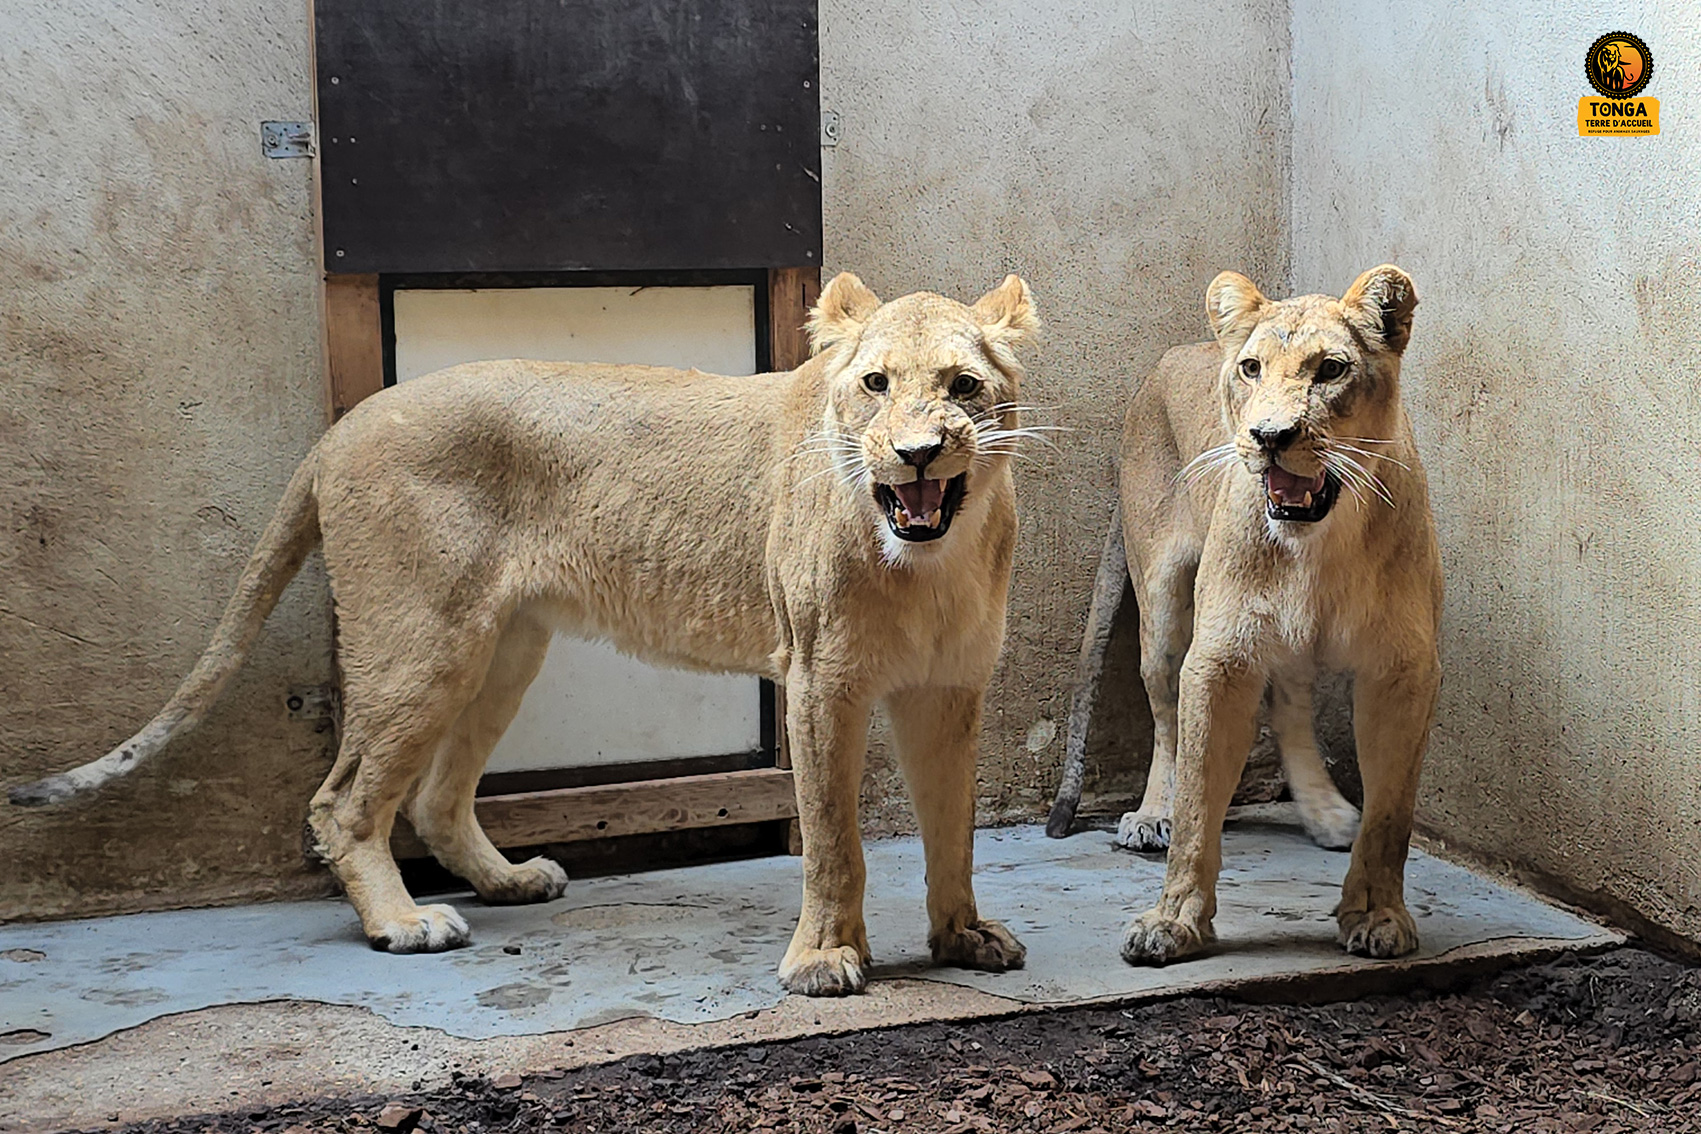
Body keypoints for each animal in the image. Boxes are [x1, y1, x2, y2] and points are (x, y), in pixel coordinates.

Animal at [10, 272, 1040, 996]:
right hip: (422, 638)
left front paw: (963, 937)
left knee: (434, 797)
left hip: (504, 645)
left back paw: (506, 882)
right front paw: (824, 962)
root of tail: (343, 426)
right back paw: (404, 925)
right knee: (343, 803)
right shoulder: (820, 680)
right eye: (873, 385)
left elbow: (951, 825)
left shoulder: (952, 687)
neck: (928, 560)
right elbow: (832, 837)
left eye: (963, 386)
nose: (916, 453)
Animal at [1116, 265, 1442, 965]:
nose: (1270, 437)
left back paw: (1325, 811)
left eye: (1330, 370)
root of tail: (1181, 349)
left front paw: (1376, 915)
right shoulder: (1218, 657)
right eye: (1251, 369)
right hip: (1162, 604)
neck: (1319, 543)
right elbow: (1198, 801)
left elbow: (1391, 814)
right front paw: (1172, 922)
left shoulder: (1403, 669)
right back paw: (1150, 815)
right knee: (1164, 716)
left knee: (1289, 702)